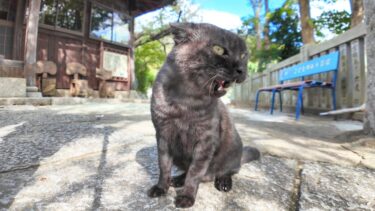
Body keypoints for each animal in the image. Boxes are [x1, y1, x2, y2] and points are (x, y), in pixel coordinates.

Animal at [148, 23, 260, 208]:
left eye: (244, 55)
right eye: (219, 49)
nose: (241, 69)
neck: (186, 102)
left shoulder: (205, 141)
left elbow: (194, 173)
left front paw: (187, 197)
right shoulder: (163, 135)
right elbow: (163, 166)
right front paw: (161, 188)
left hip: (233, 152)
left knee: (228, 171)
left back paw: (223, 182)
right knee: (186, 171)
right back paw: (177, 180)